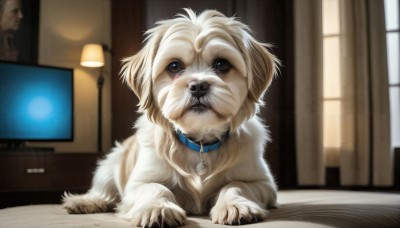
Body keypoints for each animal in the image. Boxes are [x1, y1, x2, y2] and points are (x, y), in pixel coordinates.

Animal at [64, 8, 280, 226]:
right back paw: (84, 202)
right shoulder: (137, 183)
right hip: (110, 165)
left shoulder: (263, 183)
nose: (198, 86)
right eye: (174, 66)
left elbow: (236, 185)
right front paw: (158, 209)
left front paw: (235, 205)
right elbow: (156, 187)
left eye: (221, 64)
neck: (200, 142)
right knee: (103, 192)